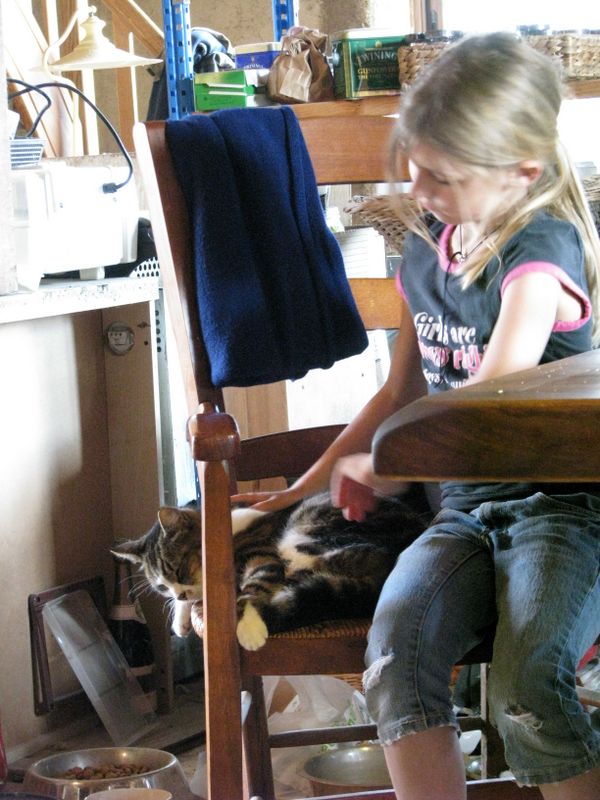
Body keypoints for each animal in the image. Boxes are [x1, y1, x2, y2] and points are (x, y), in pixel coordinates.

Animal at [111, 491, 428, 651]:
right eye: (162, 586)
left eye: (178, 570)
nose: (176, 595)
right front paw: (181, 617)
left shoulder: (262, 554)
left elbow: (254, 586)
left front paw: (249, 627)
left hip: (304, 535)